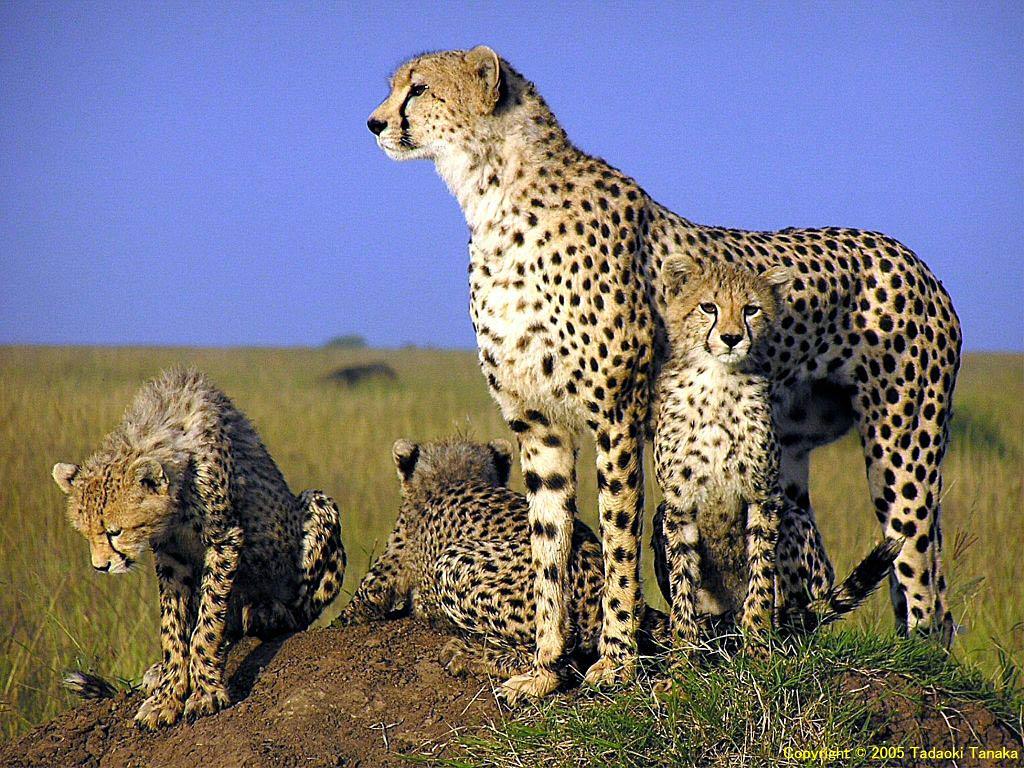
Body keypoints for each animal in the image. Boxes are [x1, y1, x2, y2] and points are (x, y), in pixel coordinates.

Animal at [52, 368, 346, 728]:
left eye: (115, 532)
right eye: (87, 534)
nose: (101, 566)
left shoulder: (225, 538)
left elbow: (207, 622)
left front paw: (205, 691)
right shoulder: (171, 555)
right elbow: (173, 627)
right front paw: (167, 694)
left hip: (317, 503)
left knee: (296, 612)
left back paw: (270, 612)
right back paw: (158, 671)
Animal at [366, 46, 962, 699]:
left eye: (419, 88)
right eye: (397, 86)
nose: (374, 122)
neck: (492, 198)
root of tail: (915, 260)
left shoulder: (616, 415)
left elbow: (617, 539)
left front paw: (615, 663)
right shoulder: (538, 426)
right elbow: (549, 550)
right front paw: (545, 671)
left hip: (902, 451)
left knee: (925, 586)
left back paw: (920, 665)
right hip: (787, 462)